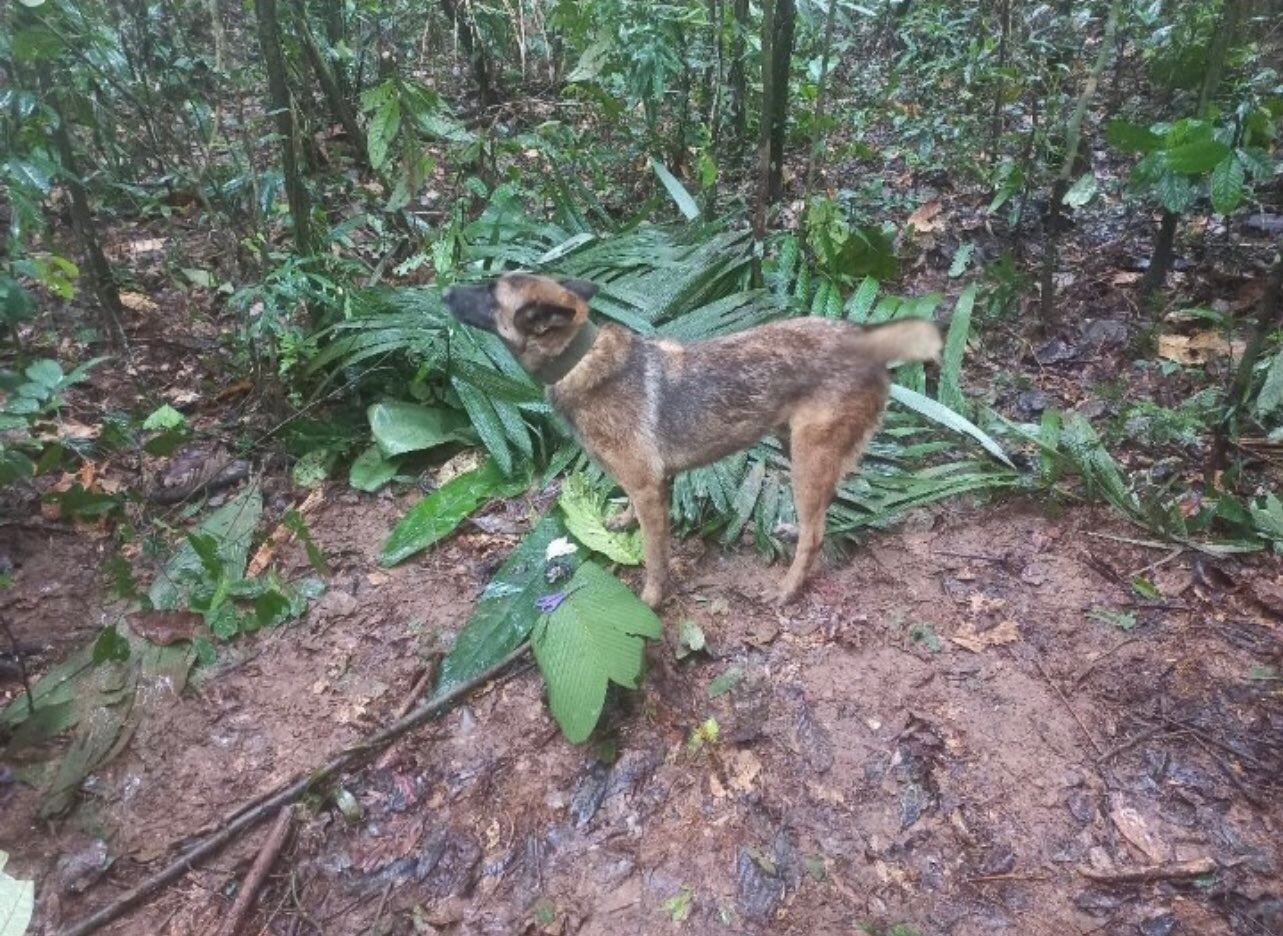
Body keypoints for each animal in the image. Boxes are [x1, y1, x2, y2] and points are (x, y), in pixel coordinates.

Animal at [443, 271, 944, 605]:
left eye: (490, 292)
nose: (444, 291)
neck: (579, 359)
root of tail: (865, 339)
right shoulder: (648, 485)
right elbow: (634, 517)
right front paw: (623, 521)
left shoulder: (649, 488)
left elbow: (654, 555)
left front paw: (650, 599)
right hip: (796, 446)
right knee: (822, 509)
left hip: (808, 455)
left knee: (817, 533)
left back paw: (787, 589)